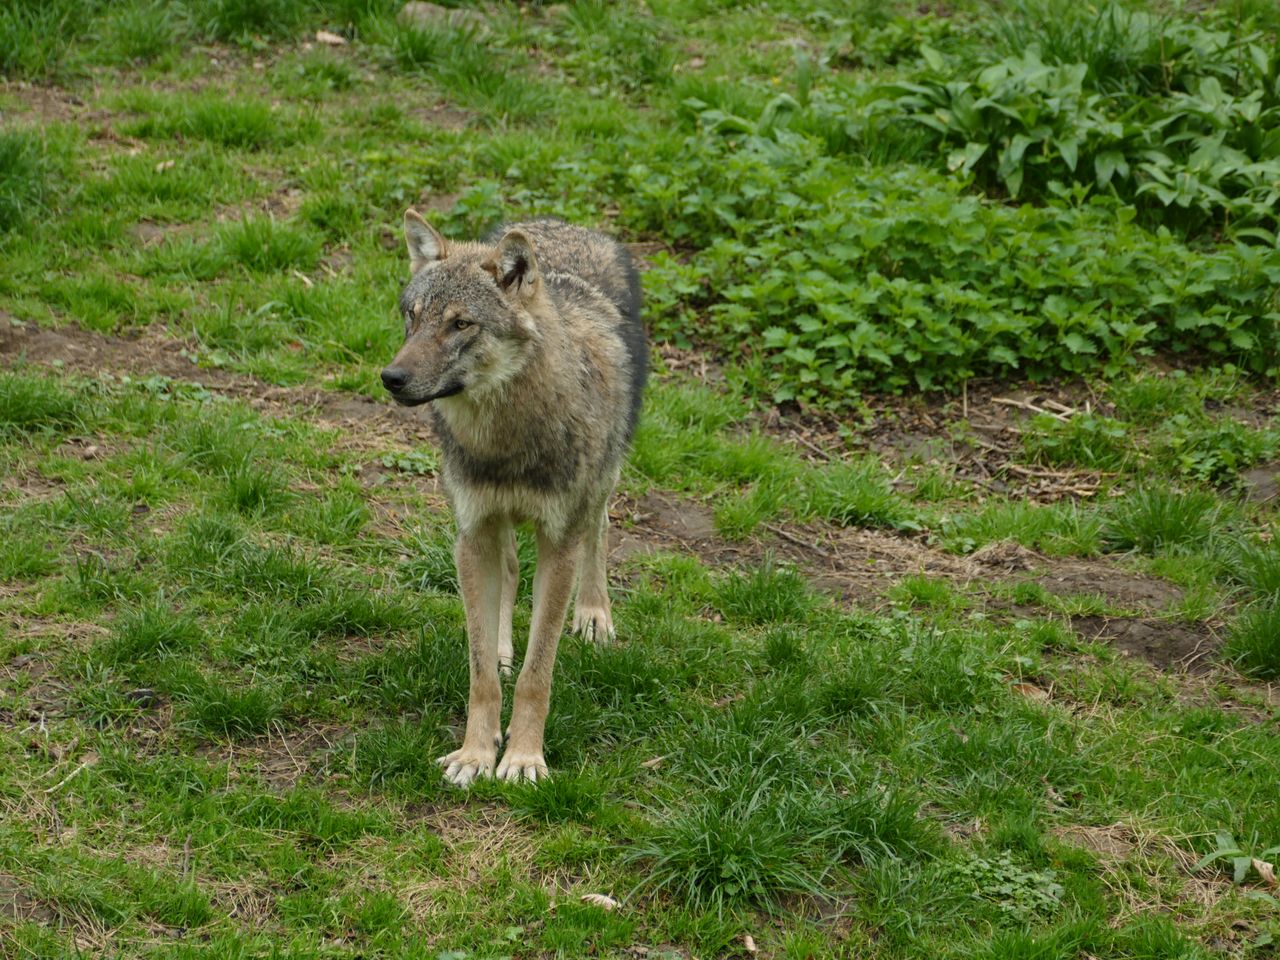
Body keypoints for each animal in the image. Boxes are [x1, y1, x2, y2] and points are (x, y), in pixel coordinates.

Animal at [381, 210, 647, 786]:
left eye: (461, 324)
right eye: (412, 316)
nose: (391, 377)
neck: (504, 441)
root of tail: (562, 224)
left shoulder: (559, 544)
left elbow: (536, 674)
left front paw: (524, 758)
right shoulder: (471, 534)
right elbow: (481, 672)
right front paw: (476, 754)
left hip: (603, 478)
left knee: (601, 528)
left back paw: (594, 615)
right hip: (494, 527)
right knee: (507, 571)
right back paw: (505, 647)